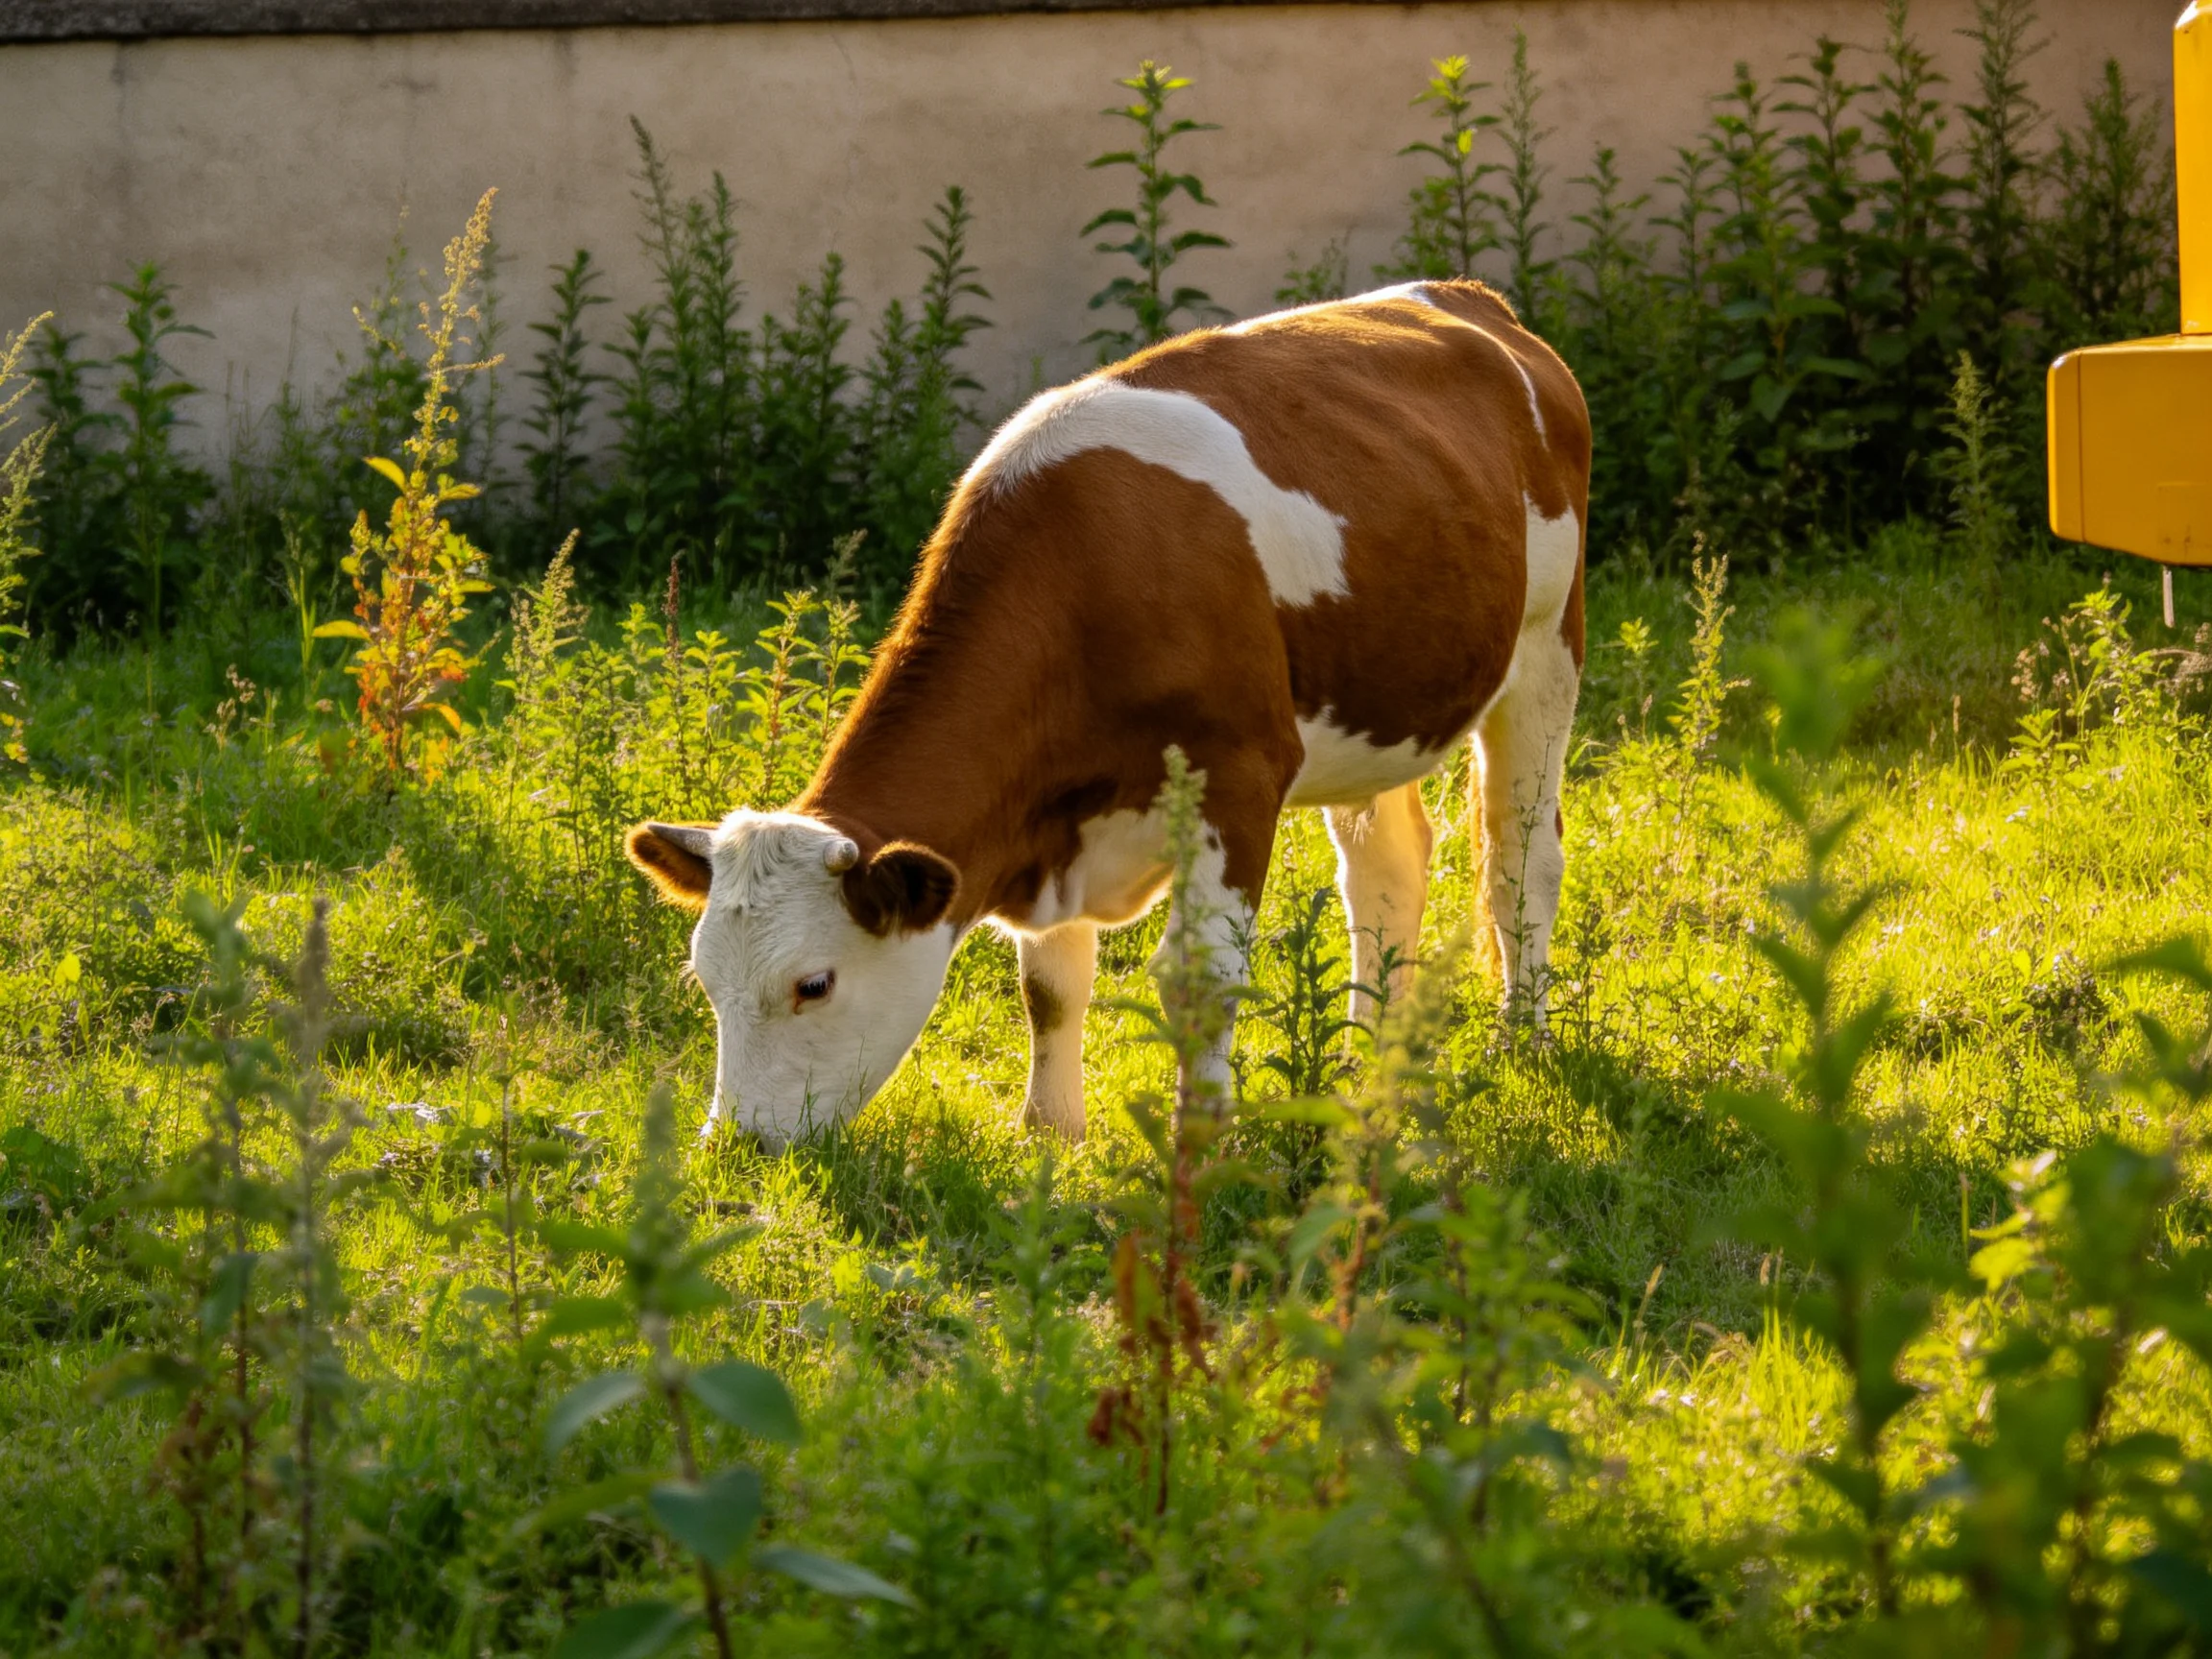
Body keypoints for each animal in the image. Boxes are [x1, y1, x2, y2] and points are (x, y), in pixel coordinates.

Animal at [625, 278, 1589, 1144]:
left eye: (813, 984)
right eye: (704, 981)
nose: (735, 1142)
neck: (1082, 579)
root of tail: (1470, 299)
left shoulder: (1240, 776)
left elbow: (1199, 979)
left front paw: (1203, 1142)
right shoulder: (1054, 820)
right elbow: (1050, 987)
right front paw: (1050, 1134)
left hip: (1548, 647)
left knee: (1520, 860)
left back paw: (1521, 1040)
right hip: (1377, 704)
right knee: (1386, 870)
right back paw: (1366, 1059)